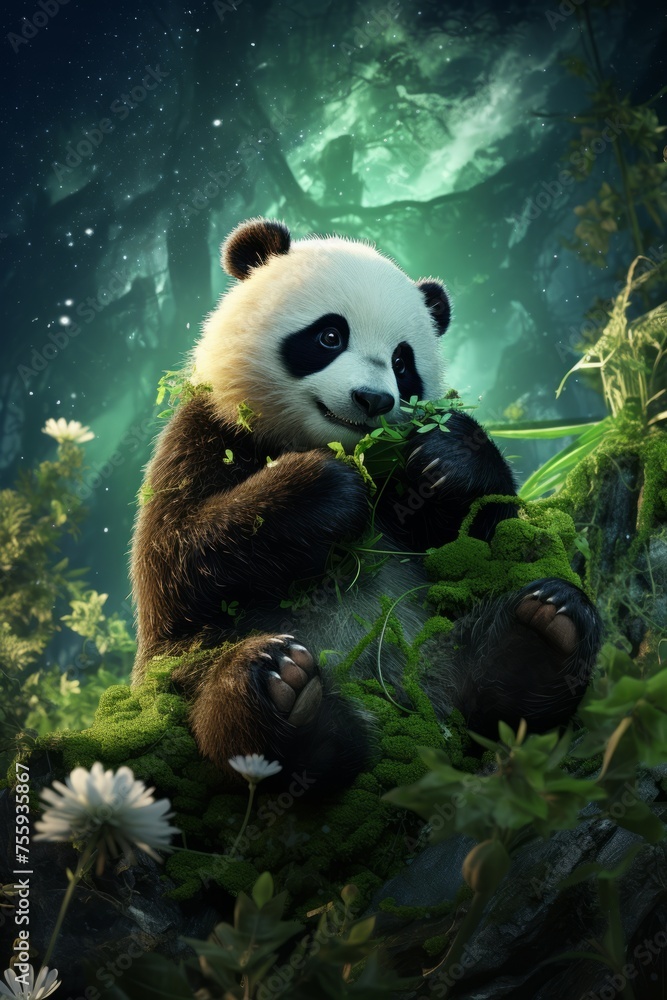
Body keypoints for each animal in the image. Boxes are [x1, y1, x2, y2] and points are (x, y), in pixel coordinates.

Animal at [130, 217, 602, 787]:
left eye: (402, 362)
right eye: (330, 336)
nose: (373, 399)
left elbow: (486, 543)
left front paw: (447, 457)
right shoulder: (201, 434)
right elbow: (175, 558)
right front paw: (327, 489)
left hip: (439, 640)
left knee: (499, 683)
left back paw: (546, 627)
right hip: (188, 676)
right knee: (222, 701)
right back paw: (287, 695)